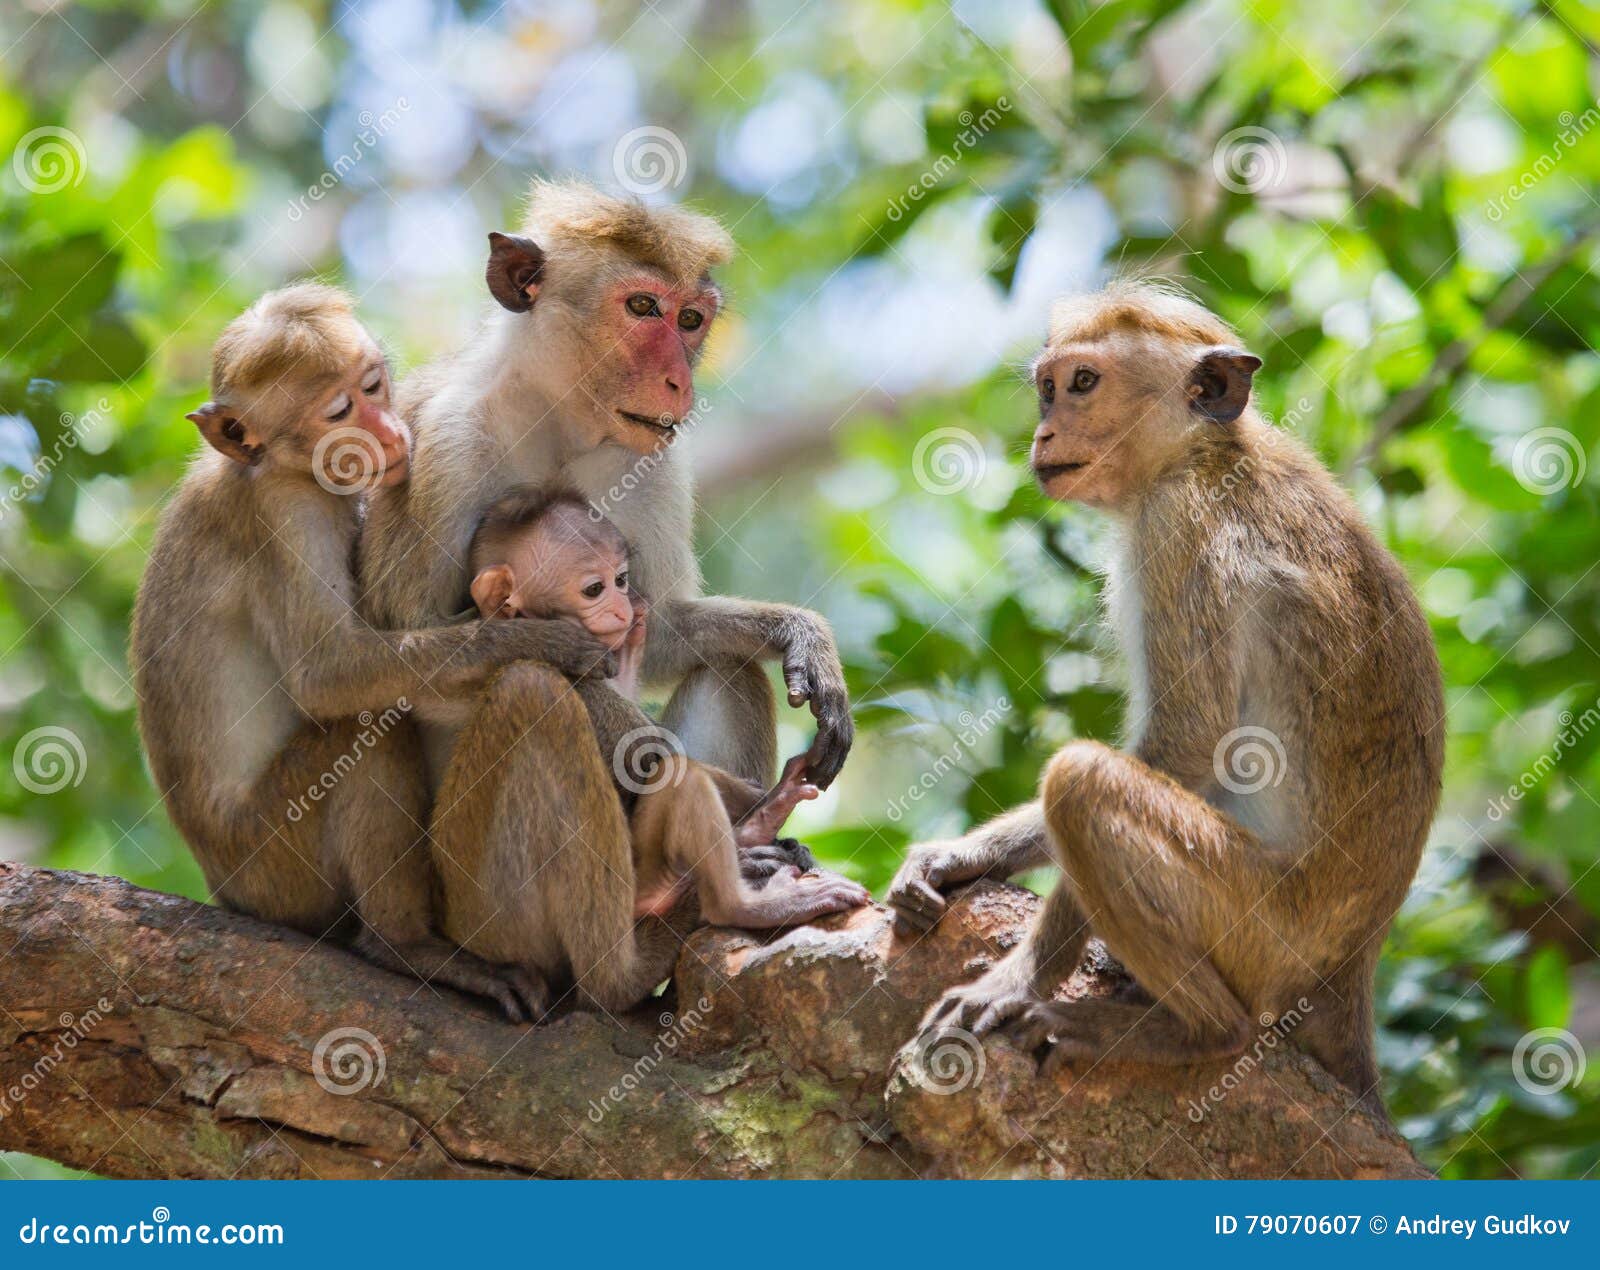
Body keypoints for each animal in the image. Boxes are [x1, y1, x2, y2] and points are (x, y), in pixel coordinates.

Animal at [129, 284, 601, 1017]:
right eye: (339, 412)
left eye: (374, 384)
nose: (386, 430)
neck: (277, 465)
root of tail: (222, 885)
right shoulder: (287, 512)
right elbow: (330, 675)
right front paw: (544, 638)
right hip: (273, 861)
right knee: (364, 729)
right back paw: (405, 947)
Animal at [451, 489, 870, 966]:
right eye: (594, 589)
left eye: (621, 579)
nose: (622, 607)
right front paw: (745, 798)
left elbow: (662, 642)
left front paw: (800, 635)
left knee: (729, 668)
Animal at [889, 279, 1452, 1106]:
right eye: (1047, 388)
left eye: (1083, 383)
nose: (1045, 432)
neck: (1204, 451)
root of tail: (1352, 967)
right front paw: (959, 857)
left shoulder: (1179, 532)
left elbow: (1184, 743)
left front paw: (1019, 980)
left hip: (1264, 929)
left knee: (1082, 782)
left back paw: (1199, 1032)